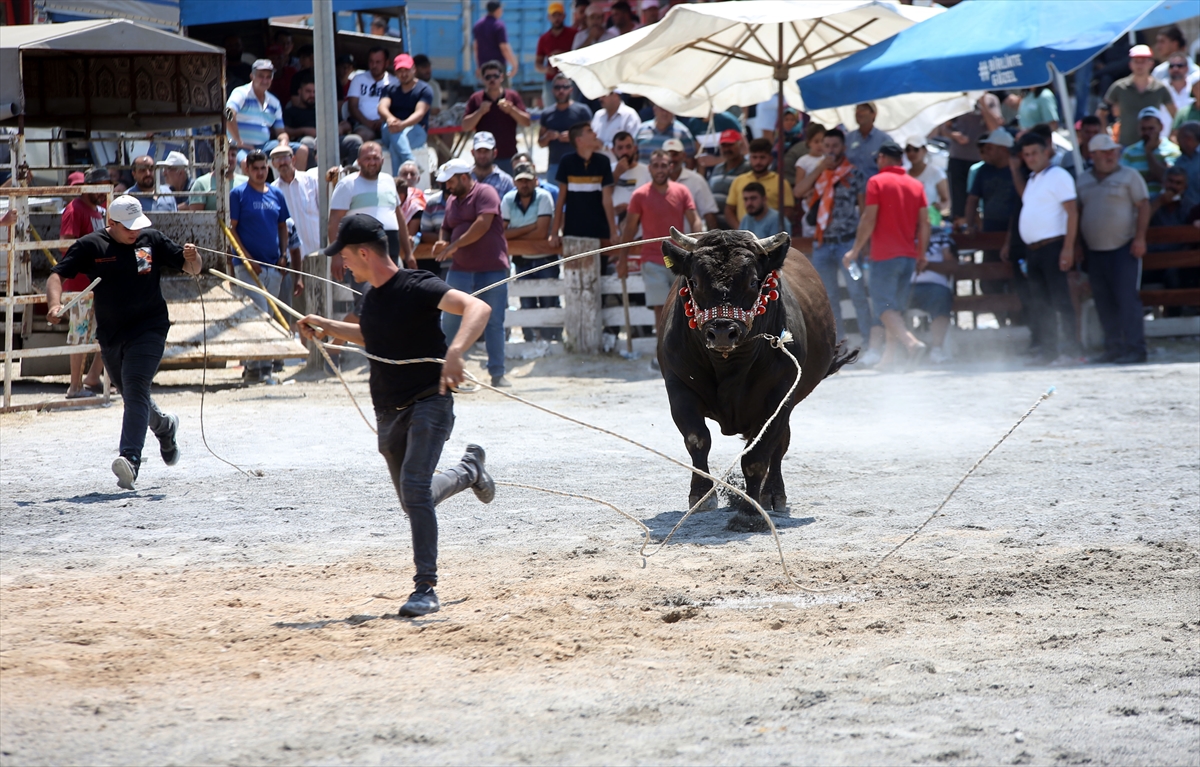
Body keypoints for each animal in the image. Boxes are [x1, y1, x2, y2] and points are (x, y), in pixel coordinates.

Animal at [652, 225, 859, 530]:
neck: (729, 365)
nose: (722, 332)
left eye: (752, 281)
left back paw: (772, 494)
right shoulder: (678, 387)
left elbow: (758, 457)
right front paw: (701, 495)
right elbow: (697, 439)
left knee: (779, 446)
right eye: (696, 281)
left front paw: (750, 511)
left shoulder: (779, 397)